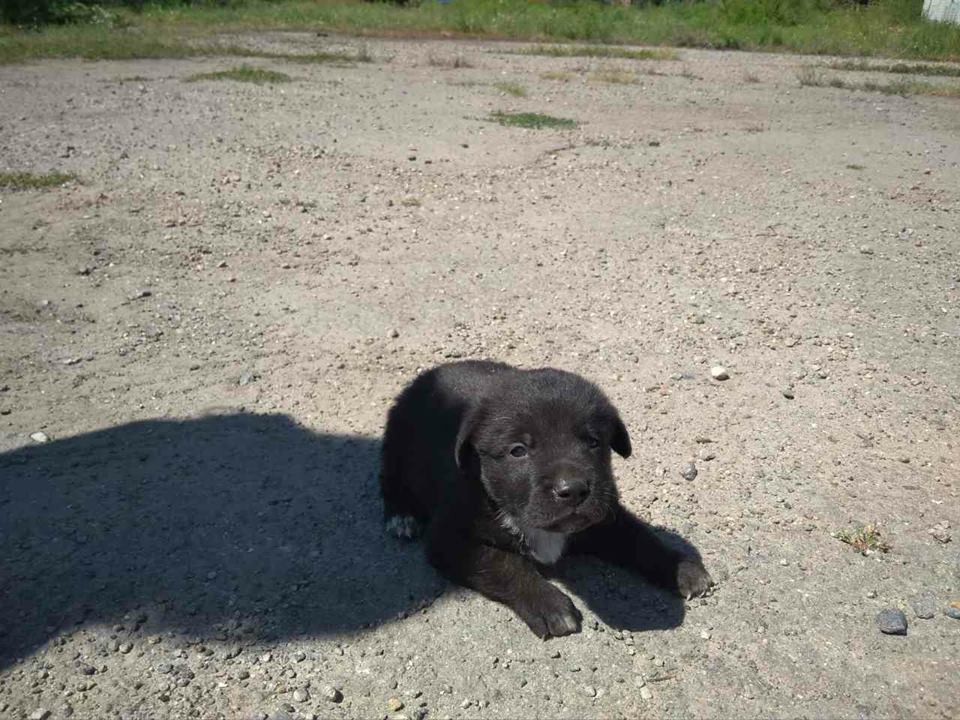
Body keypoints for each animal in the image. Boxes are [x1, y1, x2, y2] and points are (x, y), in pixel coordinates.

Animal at [378, 362, 708, 640]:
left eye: (593, 442)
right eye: (518, 450)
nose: (572, 489)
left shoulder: (605, 517)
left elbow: (640, 538)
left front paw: (680, 568)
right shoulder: (449, 538)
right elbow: (503, 563)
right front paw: (549, 603)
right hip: (397, 443)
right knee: (390, 479)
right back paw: (402, 517)